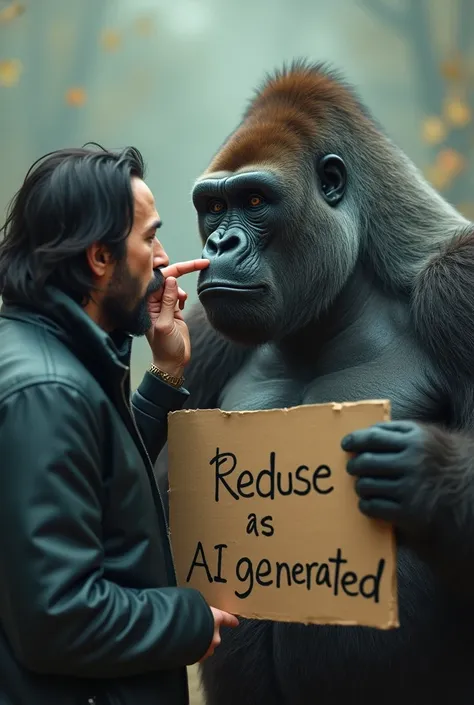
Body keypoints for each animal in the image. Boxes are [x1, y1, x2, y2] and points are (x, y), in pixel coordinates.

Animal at [156, 60, 474, 704]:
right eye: (212, 206)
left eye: (255, 200)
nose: (219, 243)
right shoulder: (207, 336)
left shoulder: (460, 287)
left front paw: (426, 472)